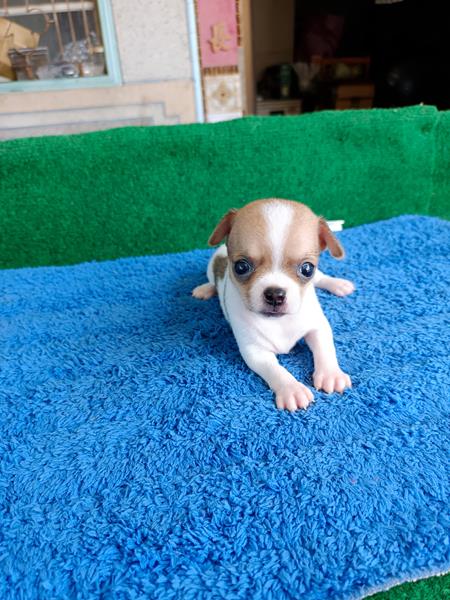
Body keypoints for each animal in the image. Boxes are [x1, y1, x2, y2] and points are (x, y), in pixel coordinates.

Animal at [192, 199, 354, 411]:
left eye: (307, 269)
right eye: (241, 267)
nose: (275, 294)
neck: (279, 322)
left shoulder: (318, 327)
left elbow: (325, 349)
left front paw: (331, 374)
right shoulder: (255, 351)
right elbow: (276, 370)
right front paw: (292, 389)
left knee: (321, 278)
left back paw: (338, 284)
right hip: (211, 269)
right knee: (211, 281)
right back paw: (204, 289)